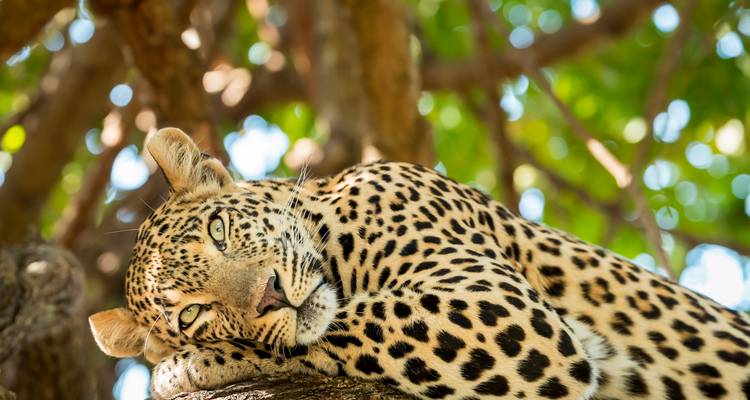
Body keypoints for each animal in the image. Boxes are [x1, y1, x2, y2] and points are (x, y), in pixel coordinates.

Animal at [90, 127, 750, 400]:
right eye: (192, 314)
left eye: (220, 231)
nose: (271, 296)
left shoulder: (496, 305)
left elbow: (346, 325)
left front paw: (187, 367)